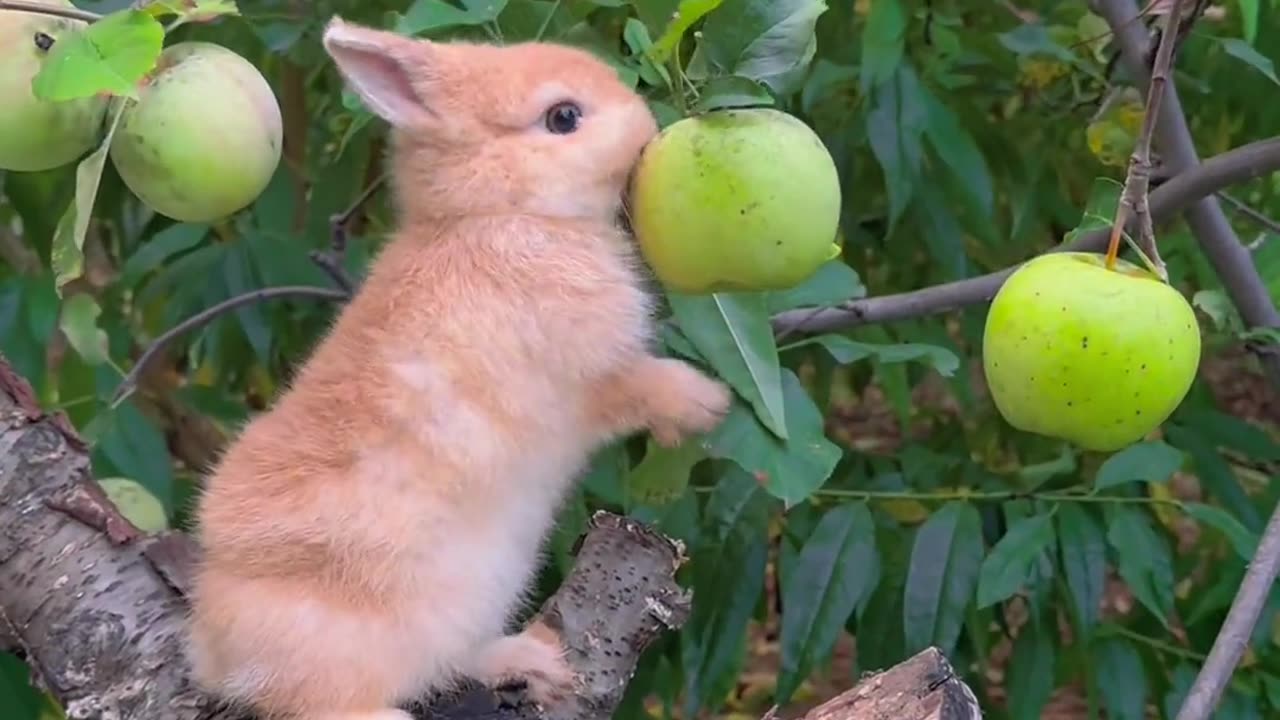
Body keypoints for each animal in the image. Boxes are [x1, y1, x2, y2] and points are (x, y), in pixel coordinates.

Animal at [186, 14, 737, 717]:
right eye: (564, 117)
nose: (644, 124)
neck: (502, 212)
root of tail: (214, 650)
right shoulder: (591, 378)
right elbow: (643, 386)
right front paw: (708, 404)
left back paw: (532, 663)